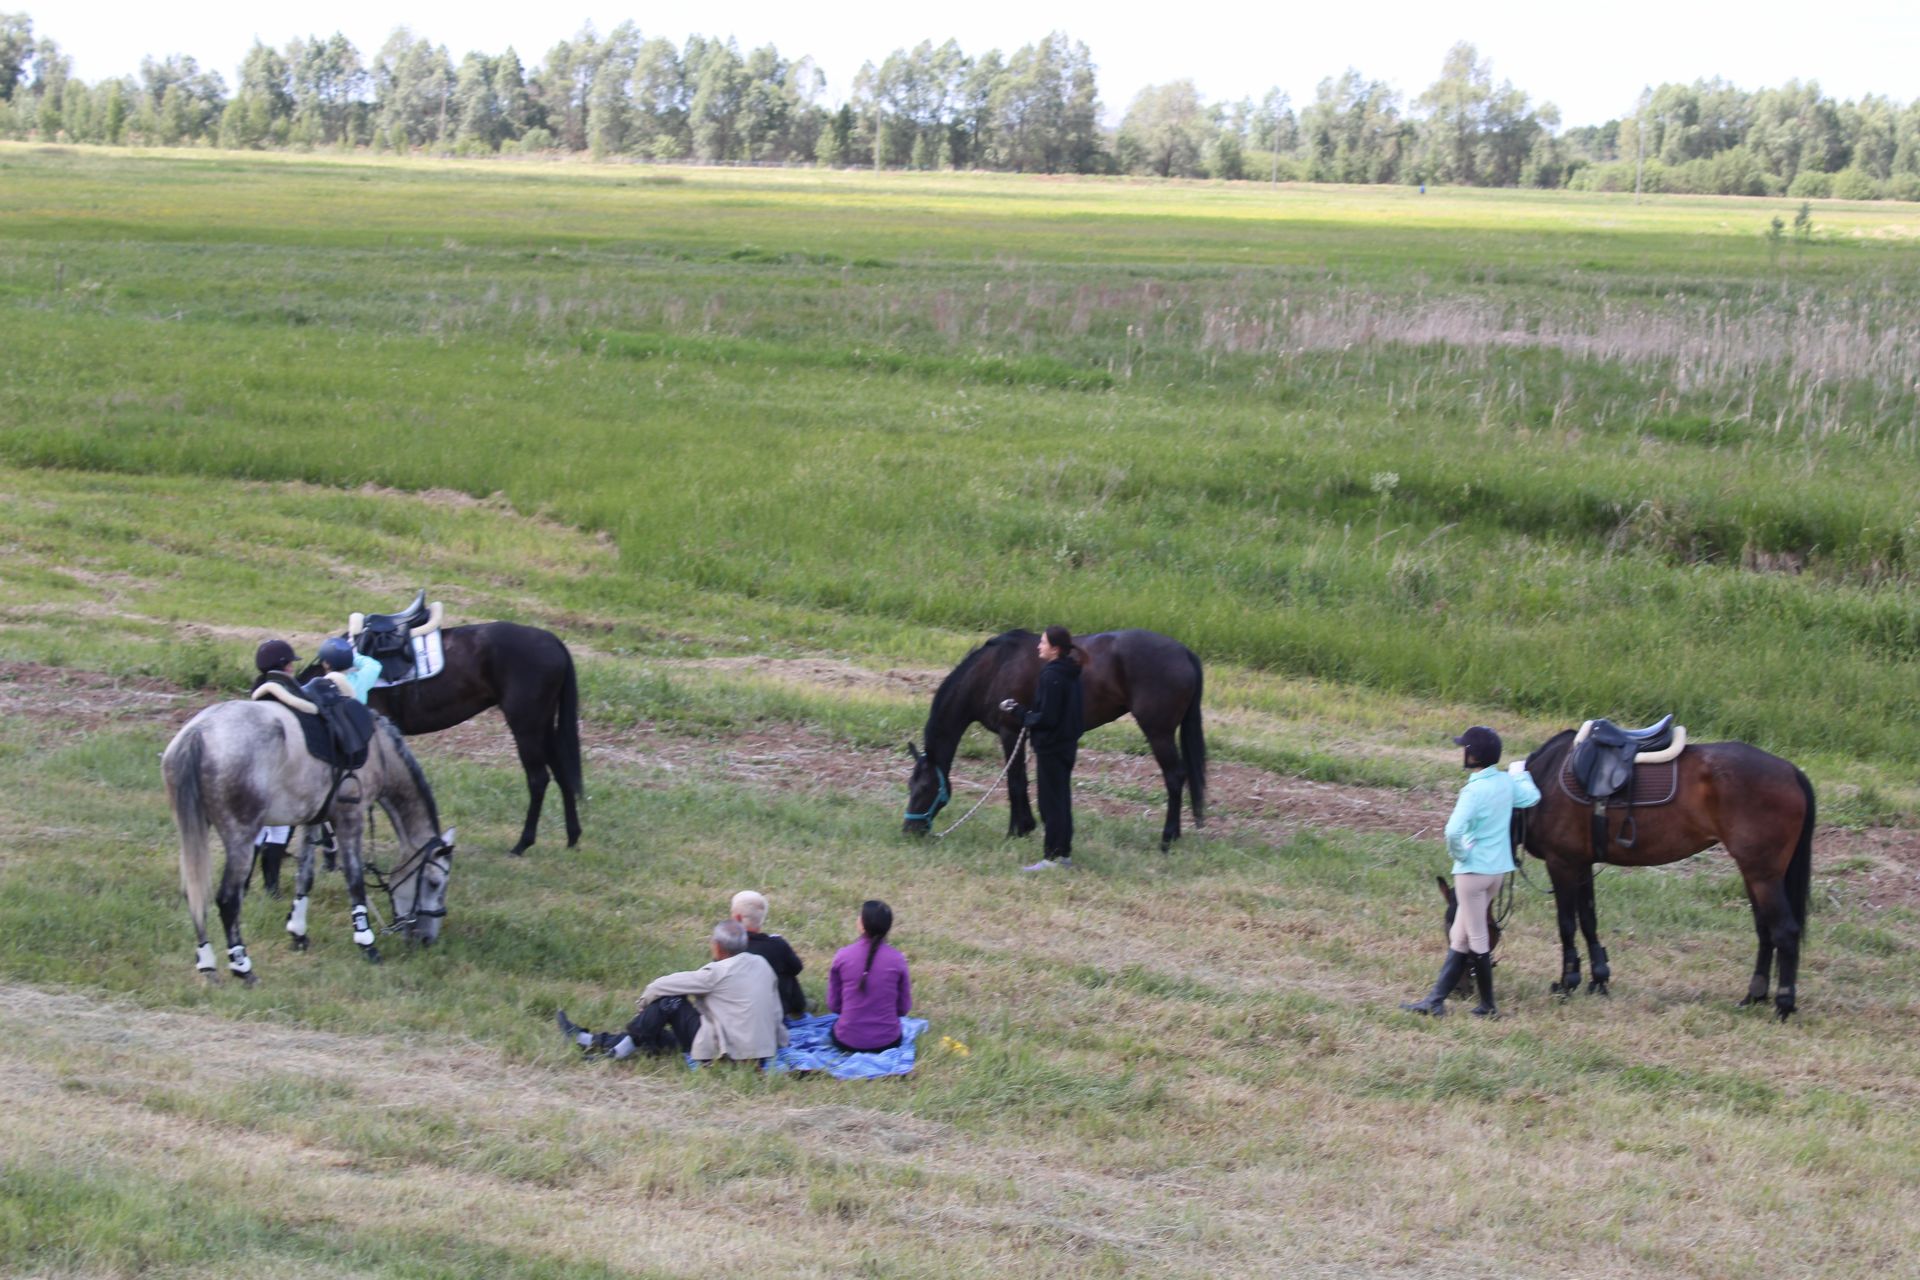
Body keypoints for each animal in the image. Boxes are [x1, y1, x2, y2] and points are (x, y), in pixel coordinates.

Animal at [161, 702, 453, 982]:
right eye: (434, 883)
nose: (426, 939)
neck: (378, 749)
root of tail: (198, 733)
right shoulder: (350, 818)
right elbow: (355, 881)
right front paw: (366, 943)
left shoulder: (313, 819)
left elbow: (306, 877)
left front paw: (298, 932)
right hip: (240, 838)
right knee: (228, 899)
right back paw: (242, 967)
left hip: (194, 832)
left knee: (195, 894)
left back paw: (207, 964)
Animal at [898, 629, 1198, 852]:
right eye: (910, 786)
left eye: (925, 788)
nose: (909, 831)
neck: (993, 669)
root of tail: (1184, 651)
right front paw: (1024, 827)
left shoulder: (1011, 731)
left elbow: (1015, 782)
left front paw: (1017, 829)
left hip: (1158, 733)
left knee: (1174, 777)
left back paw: (1167, 838)